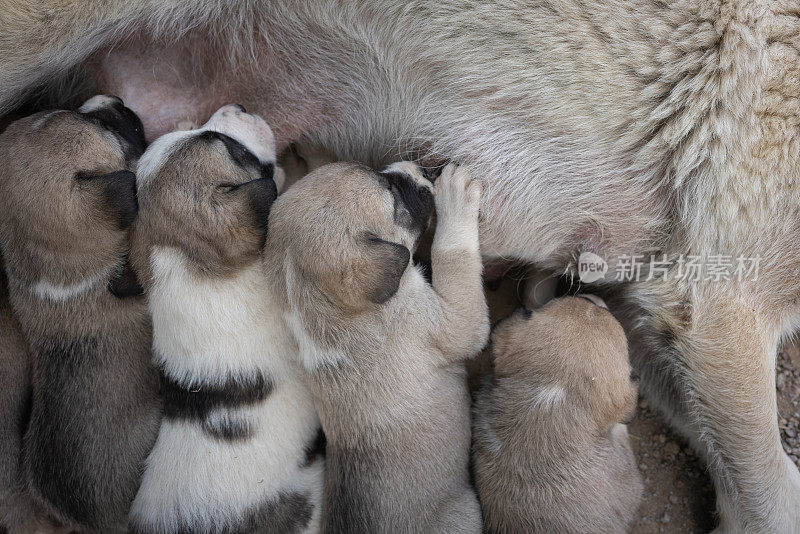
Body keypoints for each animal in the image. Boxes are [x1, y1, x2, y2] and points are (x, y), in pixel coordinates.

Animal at [264, 161, 488, 532]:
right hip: (467, 511)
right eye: (393, 192)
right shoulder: (458, 322)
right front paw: (455, 199)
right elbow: (453, 256)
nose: (418, 166)